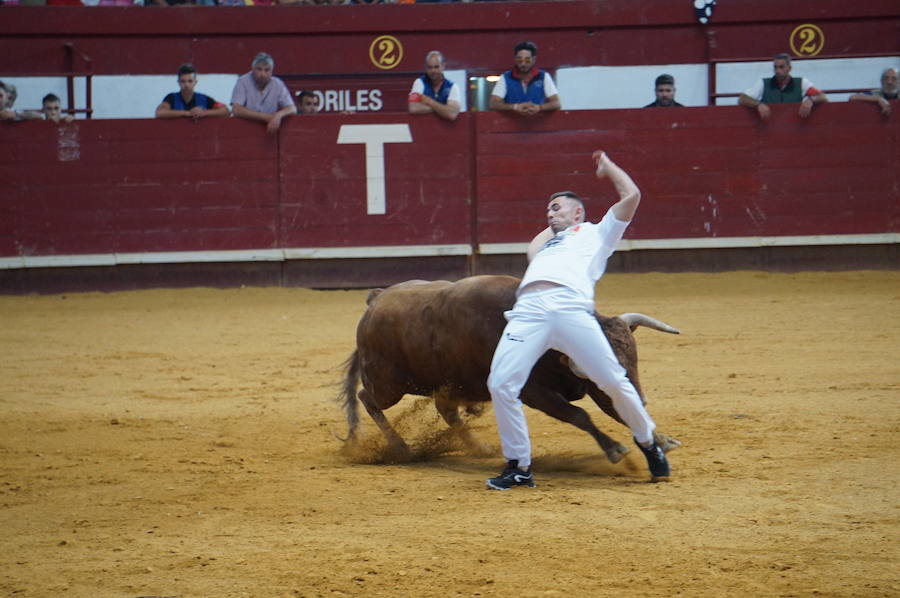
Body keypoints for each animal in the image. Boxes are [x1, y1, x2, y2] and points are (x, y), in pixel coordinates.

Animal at [342, 276, 680, 464]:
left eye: (632, 359)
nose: (642, 399)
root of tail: (376, 299)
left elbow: (616, 410)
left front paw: (660, 439)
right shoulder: (534, 392)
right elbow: (578, 415)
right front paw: (614, 449)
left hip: (449, 383)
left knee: (445, 410)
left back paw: (480, 447)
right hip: (389, 385)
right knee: (367, 398)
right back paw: (401, 448)